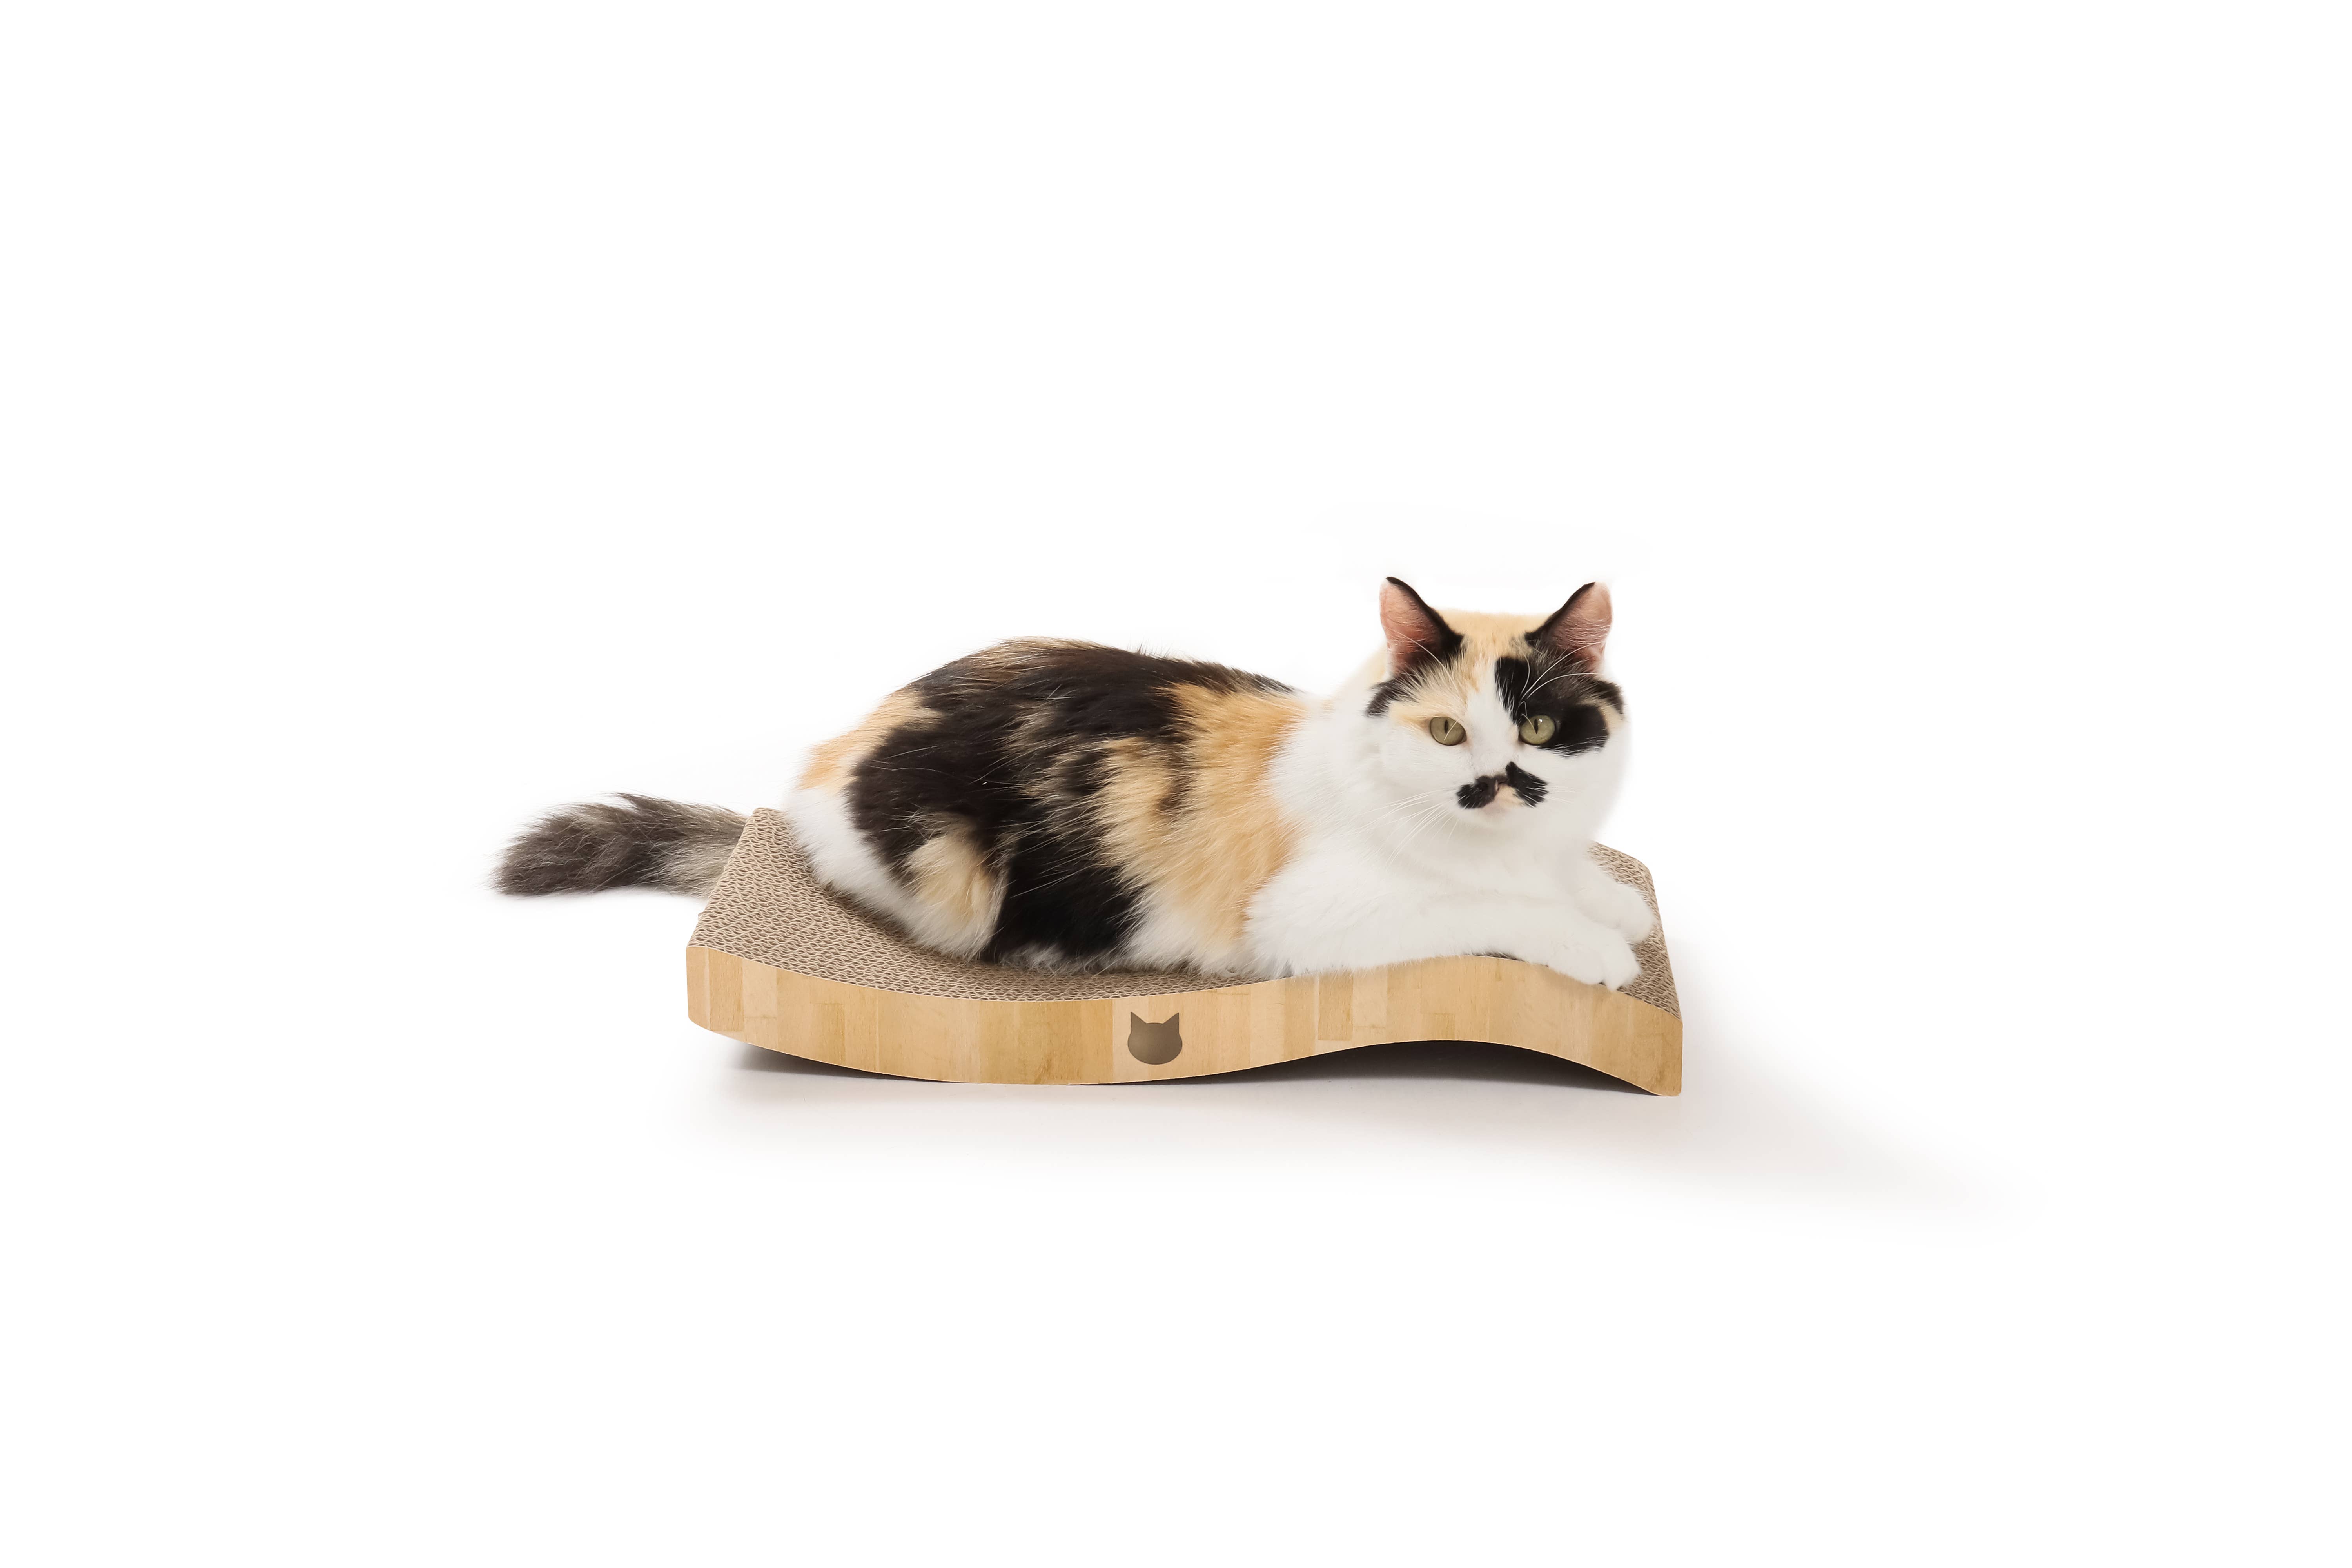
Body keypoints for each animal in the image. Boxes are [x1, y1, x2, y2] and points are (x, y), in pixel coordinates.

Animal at [498, 578, 1654, 988]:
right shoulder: (1317, 921)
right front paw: (1597, 948)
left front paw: (1614, 904)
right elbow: (1492, 912)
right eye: (1448, 729)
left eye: (1539, 726)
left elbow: (1573, 882)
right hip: (952, 875)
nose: (1499, 781)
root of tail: (831, 760)